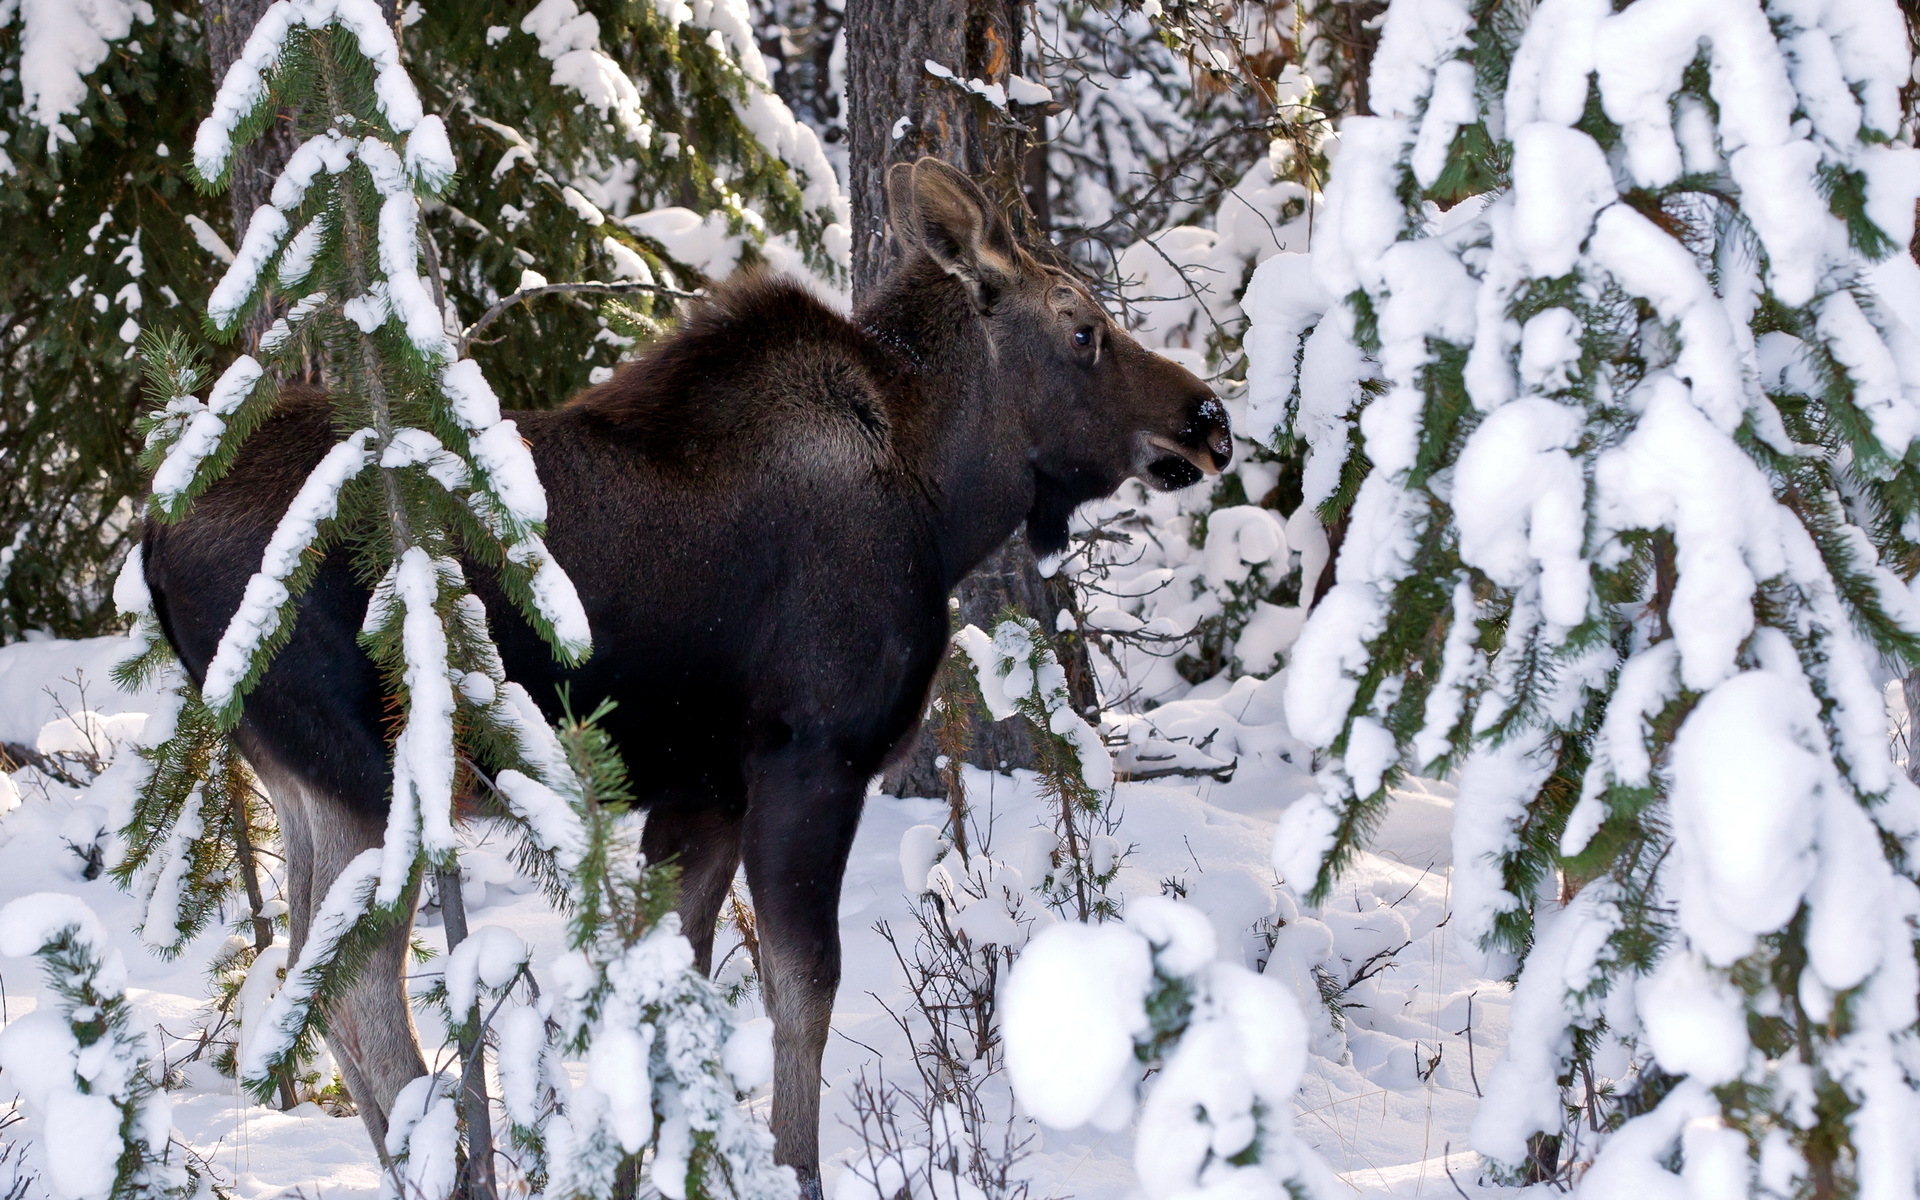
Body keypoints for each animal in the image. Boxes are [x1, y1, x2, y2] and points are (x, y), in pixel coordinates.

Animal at [145, 156, 1228, 1190]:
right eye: (1083, 328)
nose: (1209, 418)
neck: (944, 504)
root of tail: (150, 541)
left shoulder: (703, 795)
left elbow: (672, 988)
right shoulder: (811, 759)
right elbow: (802, 991)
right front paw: (794, 1168)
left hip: (299, 776)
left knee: (302, 981)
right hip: (373, 767)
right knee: (358, 992)